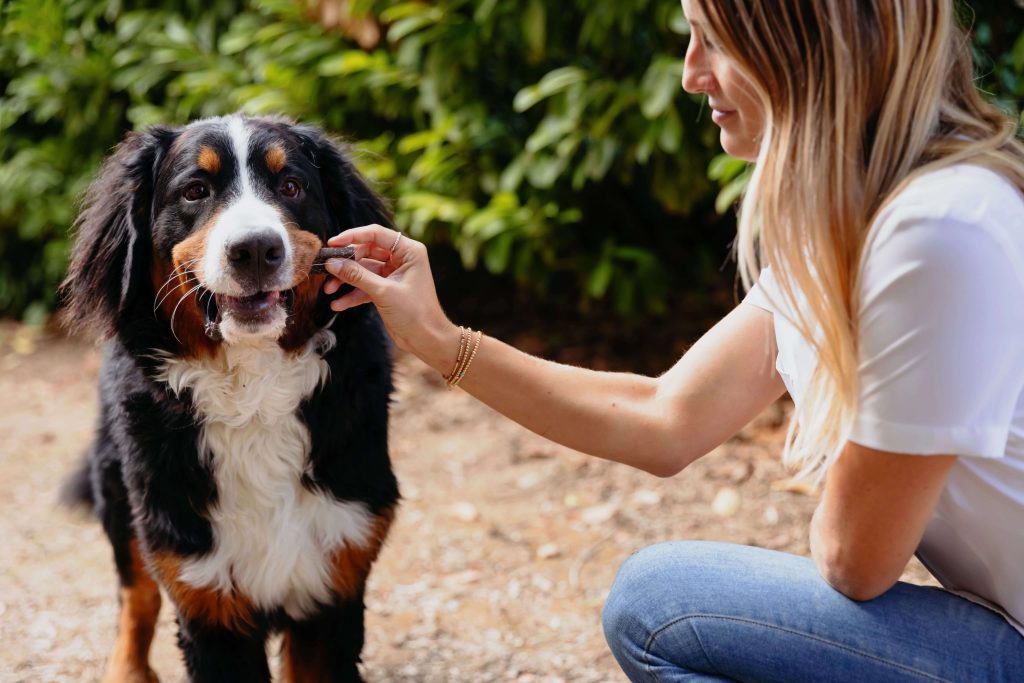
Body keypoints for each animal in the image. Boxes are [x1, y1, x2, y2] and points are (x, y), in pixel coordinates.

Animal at [58, 113, 397, 683]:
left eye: (291, 186)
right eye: (195, 191)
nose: (256, 249)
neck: (252, 394)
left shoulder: (337, 577)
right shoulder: (204, 591)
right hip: (125, 495)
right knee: (135, 595)